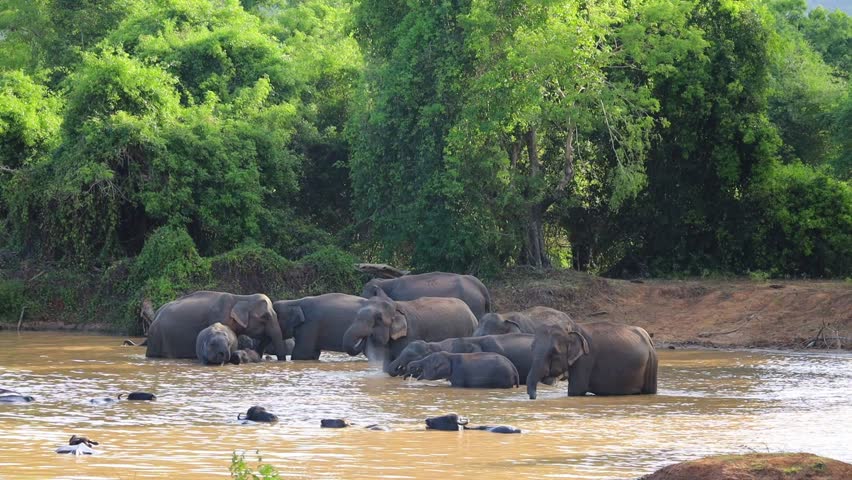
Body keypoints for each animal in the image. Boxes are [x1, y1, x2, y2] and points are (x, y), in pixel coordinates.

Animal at [342, 291, 478, 371]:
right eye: (356, 315)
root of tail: (471, 312)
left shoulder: (410, 333)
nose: (365, 337)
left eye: (378, 319)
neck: (396, 305)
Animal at [526, 320, 657, 399]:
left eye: (554, 352)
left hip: (651, 363)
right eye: (531, 348)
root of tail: (648, 337)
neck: (570, 328)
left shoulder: (586, 359)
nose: (534, 397)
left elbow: (576, 391)